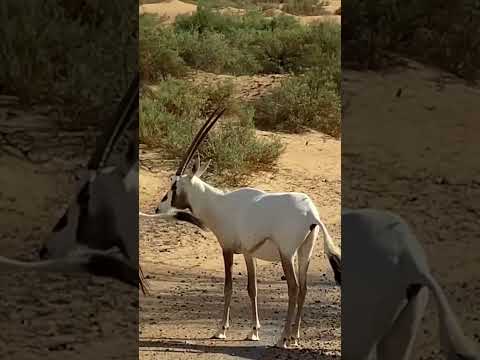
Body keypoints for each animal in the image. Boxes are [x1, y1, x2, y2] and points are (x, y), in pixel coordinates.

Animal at [155, 108, 342, 348]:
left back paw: (283, 338)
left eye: (174, 185)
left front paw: (221, 330)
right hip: (304, 253)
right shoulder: (248, 253)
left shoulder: (227, 249)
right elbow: (252, 289)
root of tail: (312, 214)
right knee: (304, 288)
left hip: (286, 254)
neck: (220, 203)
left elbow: (228, 287)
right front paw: (253, 331)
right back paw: (295, 336)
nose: (158, 208)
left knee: (293, 288)